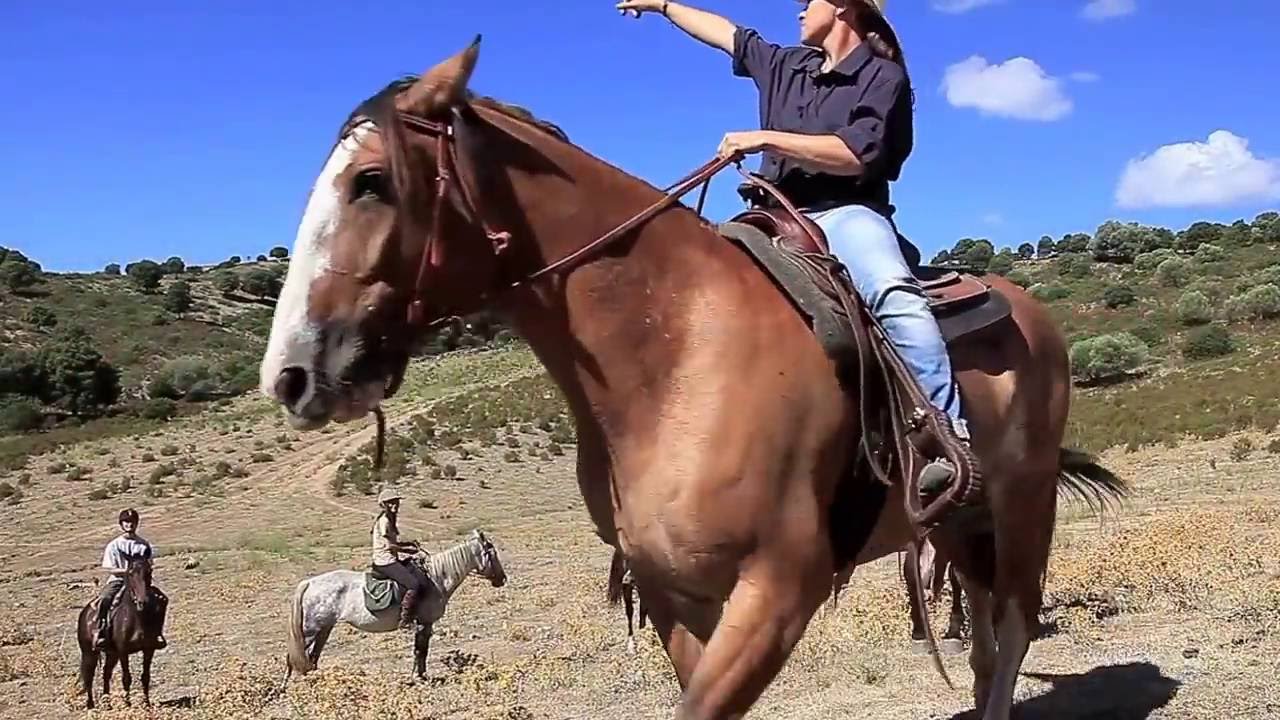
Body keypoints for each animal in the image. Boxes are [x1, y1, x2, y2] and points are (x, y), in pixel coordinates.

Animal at [76, 557, 168, 709]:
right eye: (130, 573)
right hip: (89, 652)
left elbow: (145, 676)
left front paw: (146, 703)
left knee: (106, 673)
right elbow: (126, 678)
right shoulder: (123, 651)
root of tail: (84, 613)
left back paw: (107, 703)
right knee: (89, 676)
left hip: (112, 654)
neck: (137, 617)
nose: (143, 602)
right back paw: (90, 705)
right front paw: (127, 704)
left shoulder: (149, 649)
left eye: (149, 571)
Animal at [284, 529, 506, 681]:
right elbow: (421, 650)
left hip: (325, 629)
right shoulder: (424, 622)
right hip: (310, 631)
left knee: (312, 657)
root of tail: (310, 582)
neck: (436, 578)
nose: (502, 579)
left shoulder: (425, 624)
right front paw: (420, 677)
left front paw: (419, 675)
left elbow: (421, 650)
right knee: (293, 657)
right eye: (492, 553)